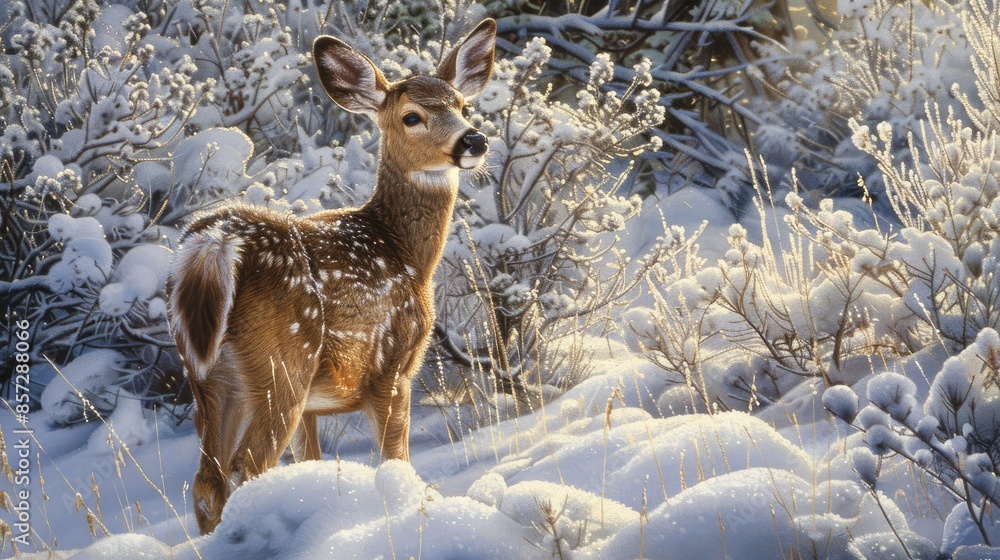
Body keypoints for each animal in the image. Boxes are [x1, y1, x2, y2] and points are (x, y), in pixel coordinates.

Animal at [166, 19, 496, 535]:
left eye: (462, 106)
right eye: (412, 117)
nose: (473, 141)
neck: (406, 253)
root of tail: (213, 242)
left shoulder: (316, 405)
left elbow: (311, 459)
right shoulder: (391, 368)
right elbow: (395, 461)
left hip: (206, 374)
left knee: (206, 482)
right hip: (284, 360)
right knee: (246, 467)